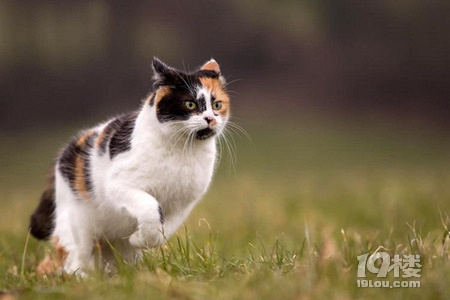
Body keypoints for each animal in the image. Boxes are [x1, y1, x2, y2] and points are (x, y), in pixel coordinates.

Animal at [29, 57, 230, 276]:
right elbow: (151, 208)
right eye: (190, 104)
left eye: (217, 105)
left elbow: (162, 230)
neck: (182, 151)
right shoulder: (118, 185)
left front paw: (138, 239)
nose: (210, 118)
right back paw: (82, 277)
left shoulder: (183, 204)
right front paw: (138, 238)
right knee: (73, 256)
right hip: (75, 225)